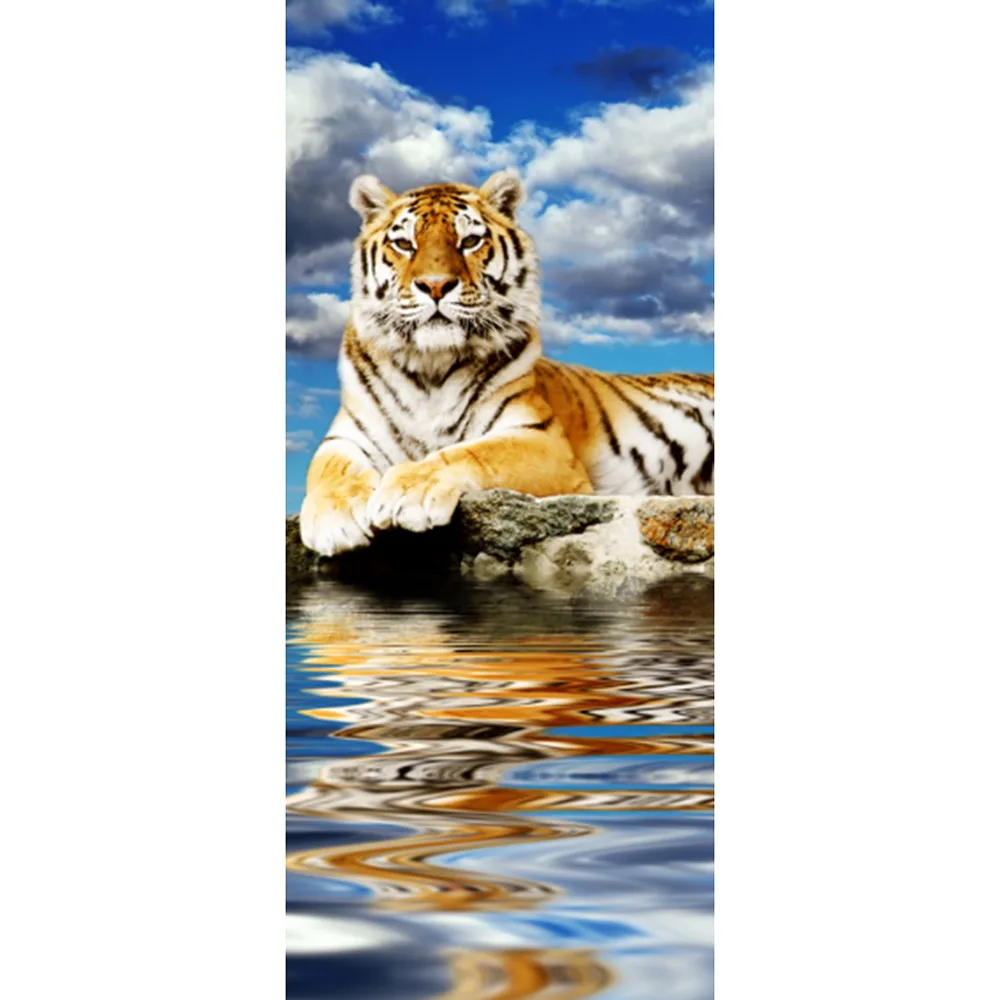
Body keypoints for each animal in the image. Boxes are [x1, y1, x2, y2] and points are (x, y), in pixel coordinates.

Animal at [299, 168, 714, 557]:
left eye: (469, 241)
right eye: (404, 244)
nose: (435, 286)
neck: (431, 366)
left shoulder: (540, 438)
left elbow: (472, 453)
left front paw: (409, 490)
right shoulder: (346, 436)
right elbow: (328, 469)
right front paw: (334, 521)